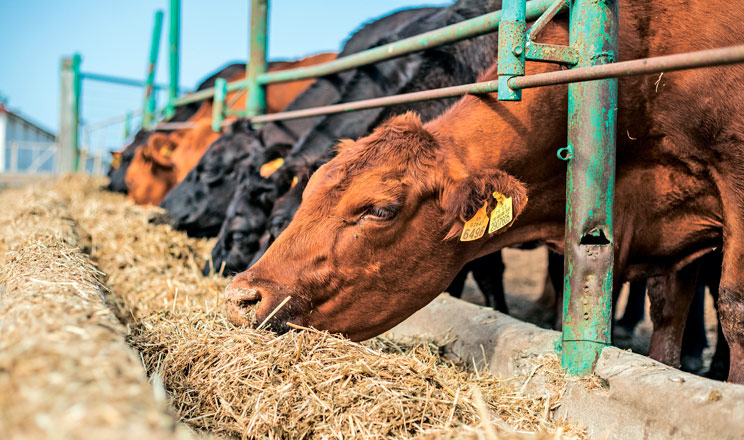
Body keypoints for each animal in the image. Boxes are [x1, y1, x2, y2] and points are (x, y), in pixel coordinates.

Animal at [225, 2, 744, 382]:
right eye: (308, 196)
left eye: (380, 209)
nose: (240, 296)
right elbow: (668, 315)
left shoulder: (730, 176)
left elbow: (732, 306)